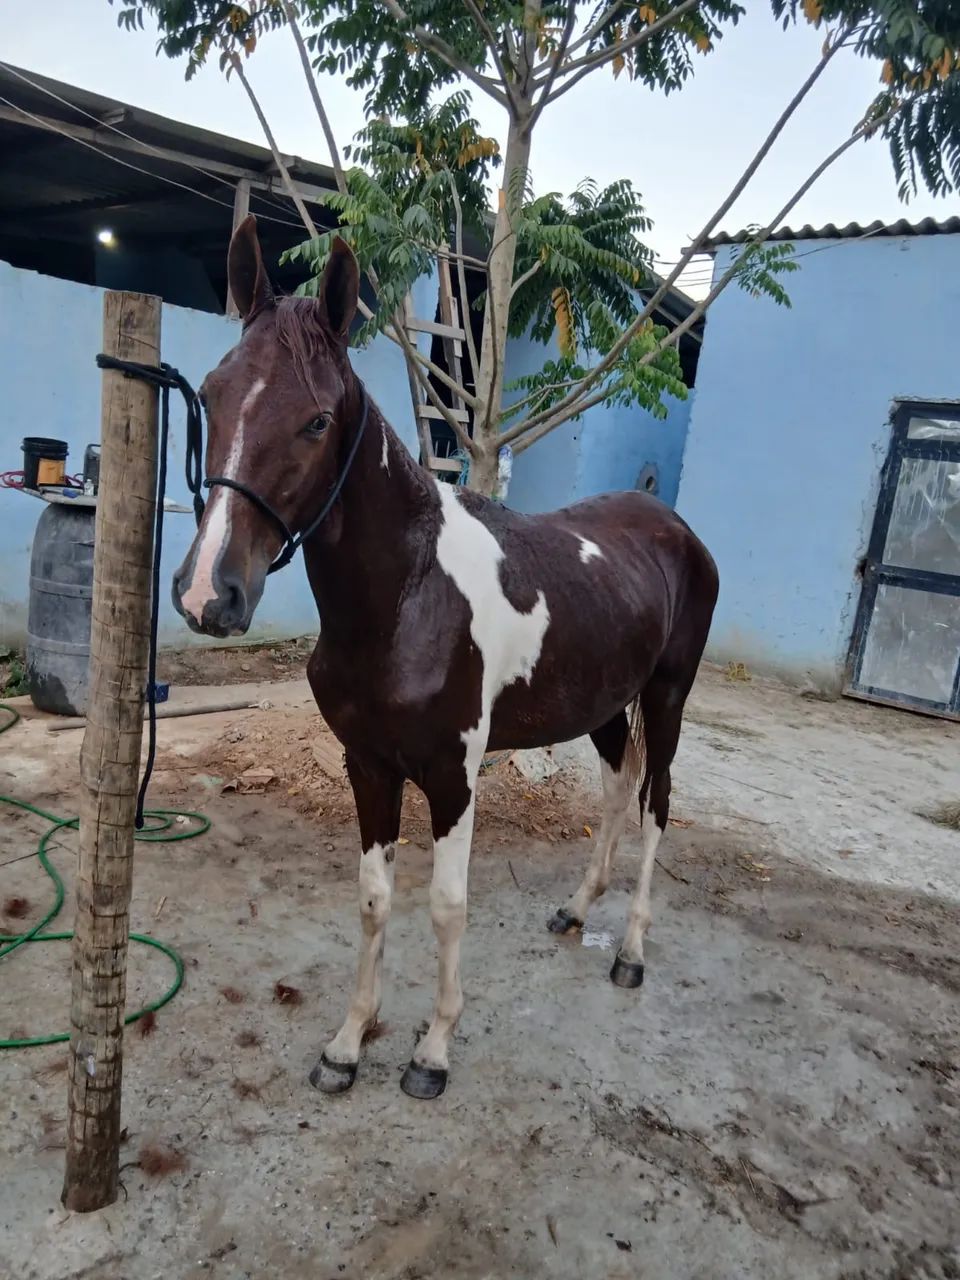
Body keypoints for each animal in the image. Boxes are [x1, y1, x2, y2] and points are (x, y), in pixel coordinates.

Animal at [172, 215, 719, 1100]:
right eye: (213, 394)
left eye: (317, 421)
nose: (206, 594)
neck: (407, 598)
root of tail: (674, 530)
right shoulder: (368, 764)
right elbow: (373, 899)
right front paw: (347, 1045)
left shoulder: (455, 775)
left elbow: (446, 905)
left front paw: (431, 1051)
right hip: (604, 706)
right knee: (615, 791)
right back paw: (576, 910)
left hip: (668, 699)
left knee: (656, 805)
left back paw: (632, 953)